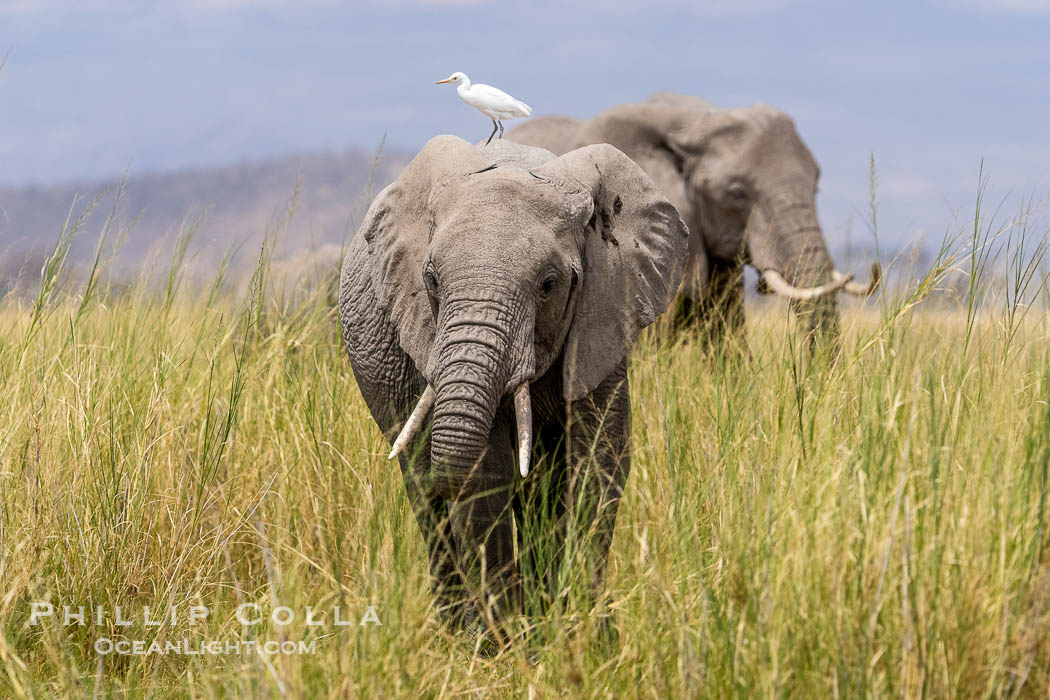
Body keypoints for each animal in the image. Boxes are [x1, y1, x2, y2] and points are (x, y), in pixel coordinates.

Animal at [340, 135, 692, 642]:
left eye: (549, 284)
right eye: (430, 279)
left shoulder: (605, 313)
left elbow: (598, 461)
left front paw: (584, 635)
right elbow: (486, 473)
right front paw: (509, 644)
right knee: (425, 498)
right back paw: (457, 633)